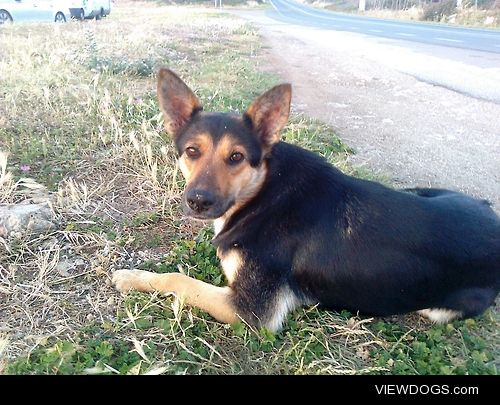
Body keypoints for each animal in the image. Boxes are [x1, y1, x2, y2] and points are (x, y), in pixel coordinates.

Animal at [113, 68, 500, 330]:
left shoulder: (249, 310)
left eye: (236, 157)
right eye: (192, 151)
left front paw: (131, 276)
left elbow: (177, 280)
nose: (198, 201)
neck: (262, 195)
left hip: (439, 307)